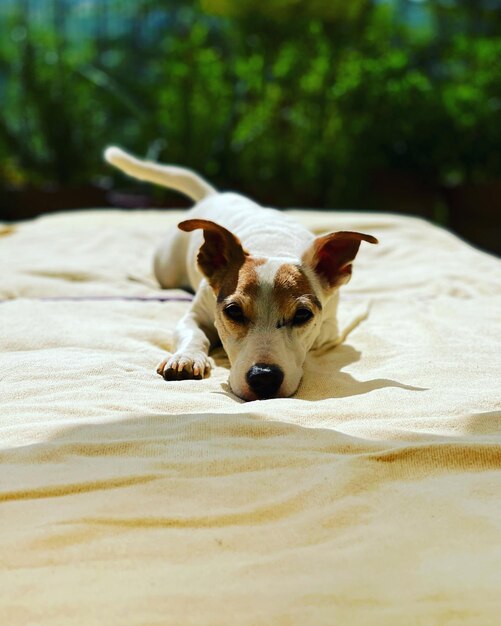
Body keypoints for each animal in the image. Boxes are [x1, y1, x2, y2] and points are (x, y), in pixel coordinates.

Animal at [106, 146, 378, 400]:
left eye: (303, 315)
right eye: (233, 311)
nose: (264, 377)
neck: (271, 245)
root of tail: (214, 195)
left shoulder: (330, 326)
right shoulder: (195, 315)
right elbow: (194, 334)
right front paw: (187, 358)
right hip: (166, 270)